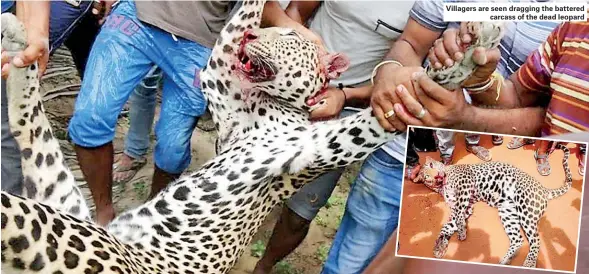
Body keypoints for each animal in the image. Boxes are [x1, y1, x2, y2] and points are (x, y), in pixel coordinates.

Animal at [414, 143, 568, 268]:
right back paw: (504, 261)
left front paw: (462, 232)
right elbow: (448, 225)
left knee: (536, 240)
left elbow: (458, 217)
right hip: (507, 212)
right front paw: (440, 246)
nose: (437, 176)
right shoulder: (466, 207)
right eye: (427, 177)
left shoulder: (465, 184)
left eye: (432, 166)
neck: (443, 186)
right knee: (518, 239)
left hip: (526, 210)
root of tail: (544, 189)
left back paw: (529, 263)